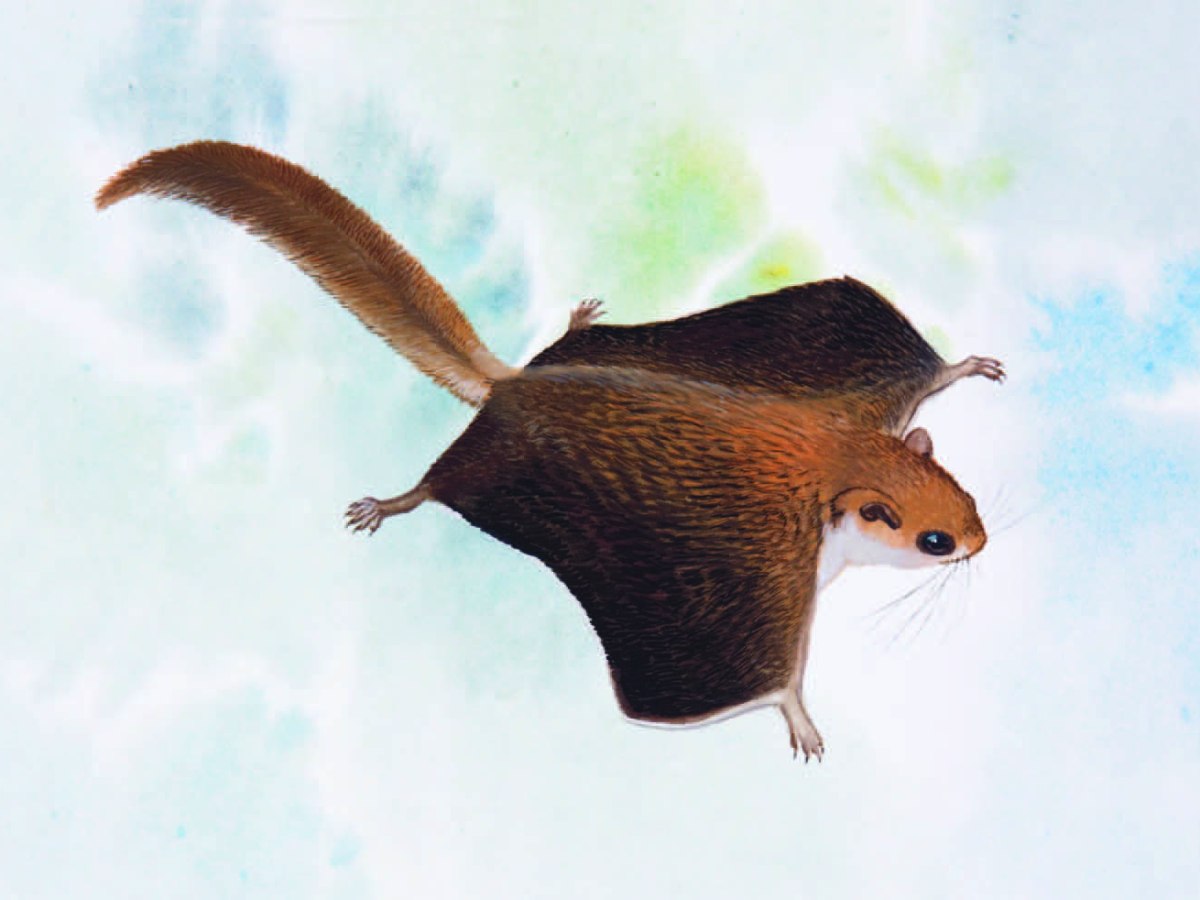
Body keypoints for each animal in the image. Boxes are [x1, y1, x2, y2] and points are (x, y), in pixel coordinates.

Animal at [96, 141, 1004, 760]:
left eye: (965, 498)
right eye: (934, 540)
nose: (981, 541)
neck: (840, 465)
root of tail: (510, 386)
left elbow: (929, 372)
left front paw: (966, 365)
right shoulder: (762, 579)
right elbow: (771, 678)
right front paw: (802, 721)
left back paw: (574, 321)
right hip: (486, 467)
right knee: (433, 484)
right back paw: (388, 502)